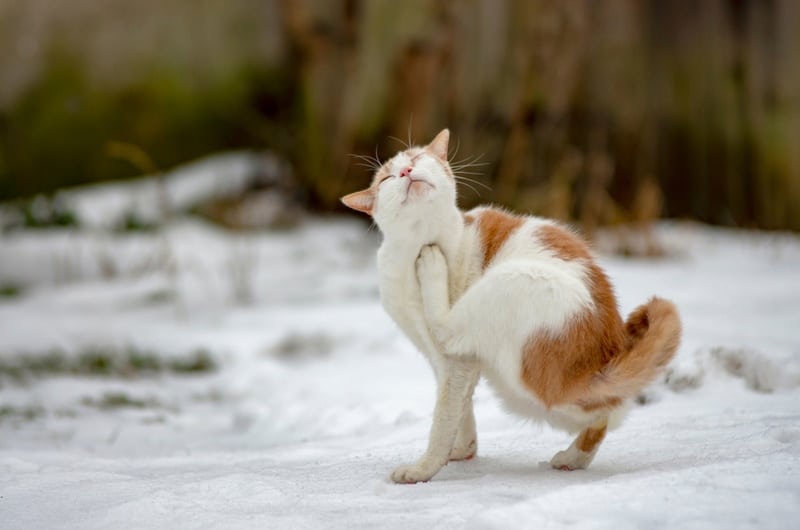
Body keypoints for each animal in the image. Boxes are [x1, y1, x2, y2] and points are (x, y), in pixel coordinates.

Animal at [340, 129, 684, 482]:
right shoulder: (443, 362)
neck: (414, 250)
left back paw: (432, 266)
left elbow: (443, 419)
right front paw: (462, 450)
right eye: (387, 178)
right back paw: (572, 458)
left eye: (416, 159)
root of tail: (604, 357)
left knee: (447, 327)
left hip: (511, 283)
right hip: (518, 388)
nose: (407, 171)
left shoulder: (455, 361)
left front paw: (425, 468)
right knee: (606, 413)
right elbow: (460, 410)